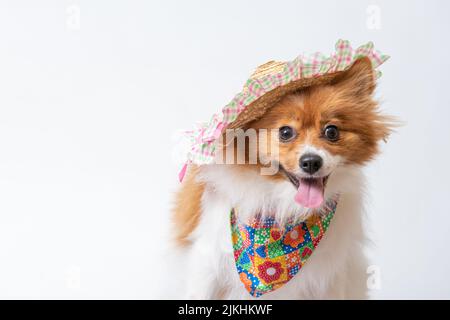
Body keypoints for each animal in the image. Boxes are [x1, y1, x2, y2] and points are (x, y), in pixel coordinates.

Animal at [172, 58, 394, 300]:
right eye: (285, 132)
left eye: (332, 131)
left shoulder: (330, 276)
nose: (311, 162)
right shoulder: (208, 262)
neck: (284, 211)